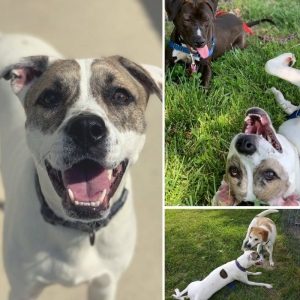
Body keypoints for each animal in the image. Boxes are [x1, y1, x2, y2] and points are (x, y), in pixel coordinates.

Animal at [0, 33, 162, 300]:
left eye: (120, 96)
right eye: (50, 98)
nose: (86, 128)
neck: (79, 232)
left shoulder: (104, 284)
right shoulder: (23, 288)